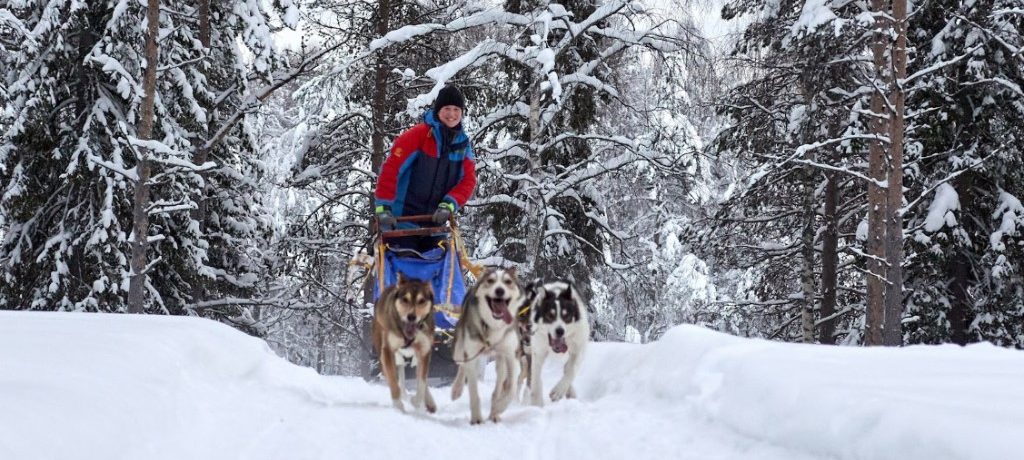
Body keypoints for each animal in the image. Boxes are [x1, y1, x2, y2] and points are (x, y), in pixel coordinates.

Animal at [372, 272, 436, 411]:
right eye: (405, 299)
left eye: (421, 301)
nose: (411, 316)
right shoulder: (387, 351)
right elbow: (393, 381)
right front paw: (398, 406)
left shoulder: (424, 350)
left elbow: (422, 383)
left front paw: (416, 401)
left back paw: (429, 402)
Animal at [450, 268, 524, 422]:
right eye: (490, 281)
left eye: (508, 282)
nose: (500, 290)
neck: (493, 326)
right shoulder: (471, 353)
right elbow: (473, 391)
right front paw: (477, 419)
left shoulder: (511, 355)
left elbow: (511, 388)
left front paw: (499, 407)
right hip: (459, 350)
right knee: (462, 366)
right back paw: (456, 389)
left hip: (500, 360)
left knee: (500, 383)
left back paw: (494, 412)